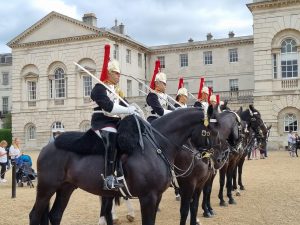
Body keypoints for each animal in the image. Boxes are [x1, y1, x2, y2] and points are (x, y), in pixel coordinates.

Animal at [29, 107, 216, 225]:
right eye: (213, 129)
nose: (216, 158)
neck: (157, 145)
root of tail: (49, 145)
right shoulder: (150, 196)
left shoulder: (159, 195)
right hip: (46, 188)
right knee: (34, 216)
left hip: (66, 188)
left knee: (55, 215)